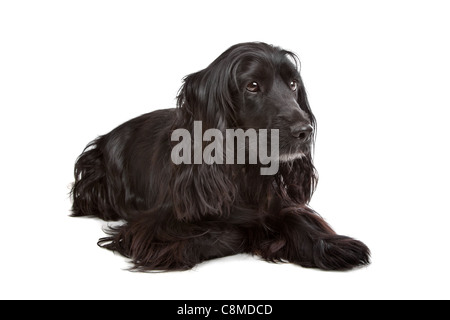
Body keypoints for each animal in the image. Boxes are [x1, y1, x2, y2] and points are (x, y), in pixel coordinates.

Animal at [72, 41, 370, 272]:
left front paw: (331, 245)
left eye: (293, 84)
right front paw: (253, 233)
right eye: (252, 86)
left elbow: (294, 217)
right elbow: (228, 233)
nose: (304, 131)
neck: (241, 169)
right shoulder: (150, 228)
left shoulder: (275, 203)